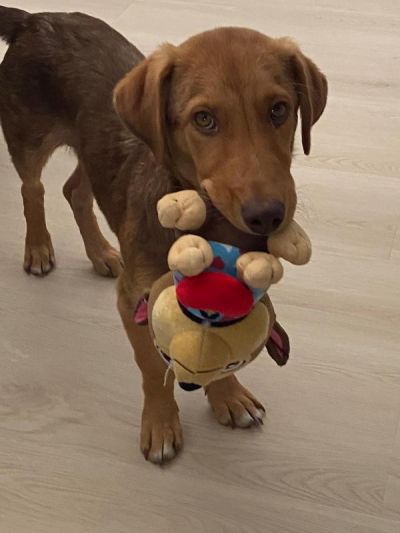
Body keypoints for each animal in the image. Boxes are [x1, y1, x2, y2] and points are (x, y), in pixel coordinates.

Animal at [0, 6, 327, 463]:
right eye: (204, 119)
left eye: (280, 110)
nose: (267, 217)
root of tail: (34, 18)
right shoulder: (133, 302)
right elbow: (153, 369)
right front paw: (160, 424)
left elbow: (223, 350)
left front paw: (228, 395)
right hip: (28, 138)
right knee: (33, 189)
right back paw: (38, 248)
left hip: (90, 150)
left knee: (75, 190)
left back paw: (101, 252)